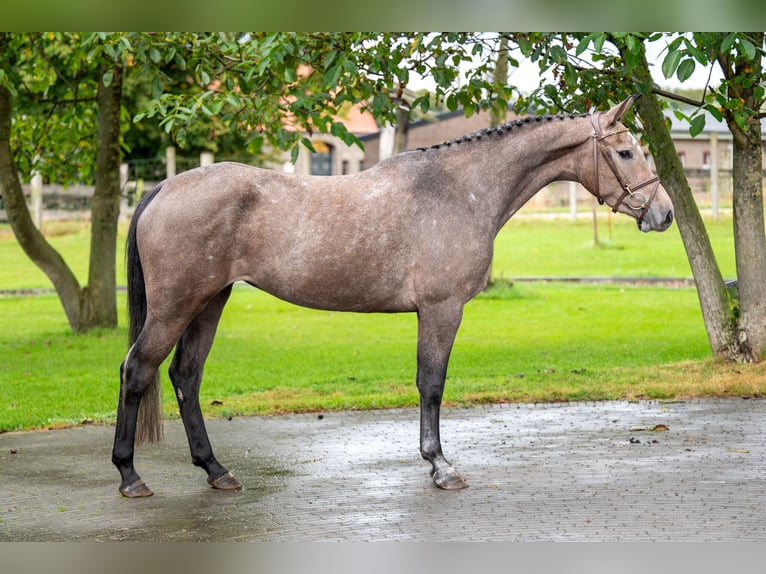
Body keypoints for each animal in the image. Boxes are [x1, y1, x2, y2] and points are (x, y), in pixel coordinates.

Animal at [111, 95, 676, 500]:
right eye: (626, 151)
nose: (664, 213)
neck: (458, 190)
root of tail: (164, 188)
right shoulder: (442, 310)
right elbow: (432, 385)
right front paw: (440, 466)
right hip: (175, 307)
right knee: (137, 370)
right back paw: (130, 476)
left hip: (210, 302)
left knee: (186, 377)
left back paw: (216, 470)